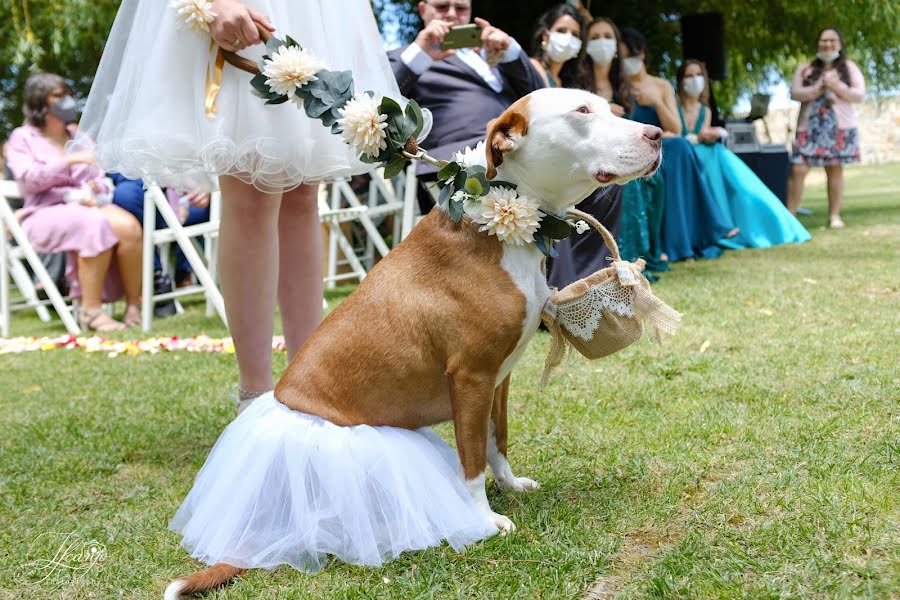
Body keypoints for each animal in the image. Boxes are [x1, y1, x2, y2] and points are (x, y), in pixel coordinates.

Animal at [167, 88, 660, 596]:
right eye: (581, 112)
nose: (657, 133)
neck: (501, 221)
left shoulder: (497, 379)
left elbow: (496, 441)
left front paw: (509, 485)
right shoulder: (471, 378)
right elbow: (470, 460)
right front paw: (481, 519)